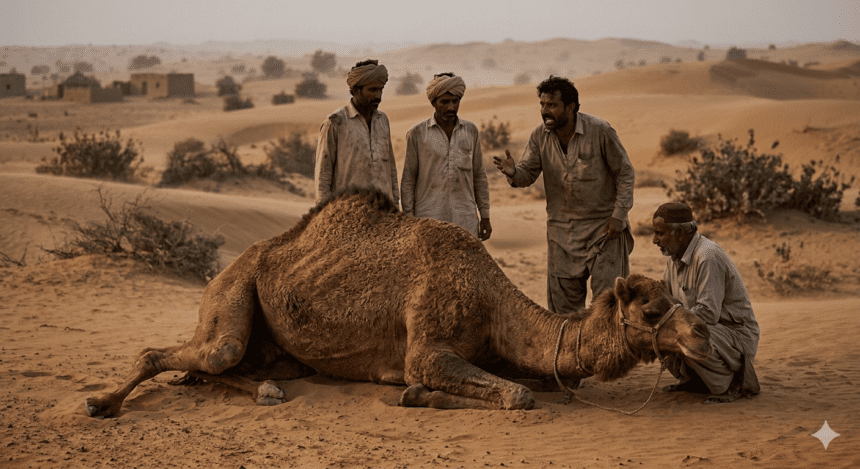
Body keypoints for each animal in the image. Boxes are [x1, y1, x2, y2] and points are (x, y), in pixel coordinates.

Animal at [85, 187, 711, 417]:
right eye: (652, 311)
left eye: (672, 297)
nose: (703, 334)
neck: (492, 301)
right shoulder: (428, 346)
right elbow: (515, 396)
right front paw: (415, 392)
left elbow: (535, 383)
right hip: (229, 299)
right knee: (191, 354)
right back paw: (100, 402)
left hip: (275, 347)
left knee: (230, 368)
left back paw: (266, 388)